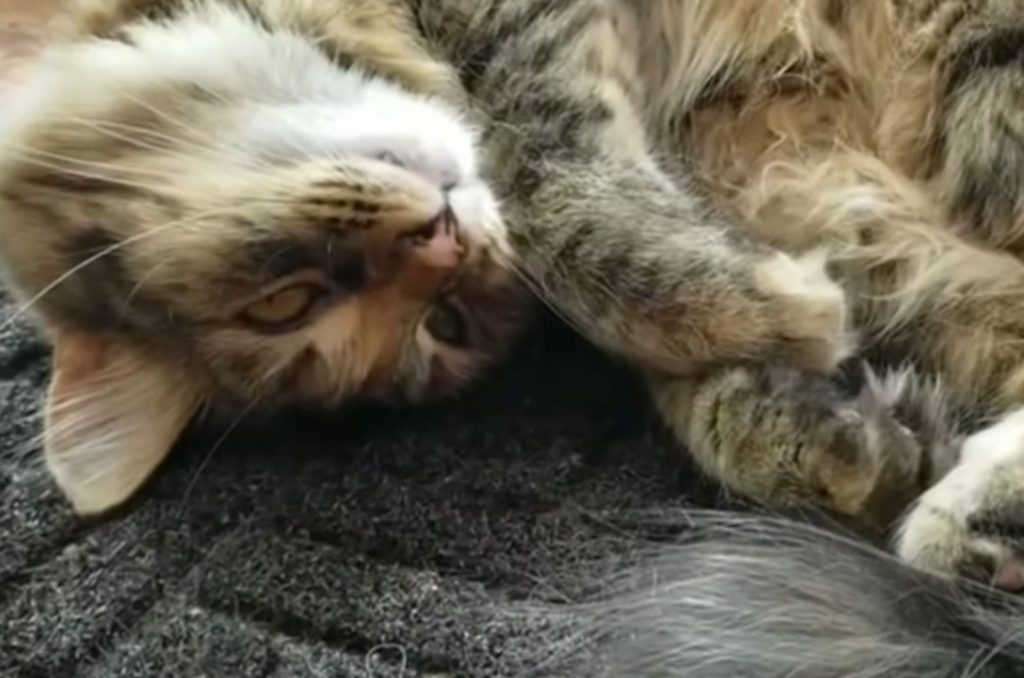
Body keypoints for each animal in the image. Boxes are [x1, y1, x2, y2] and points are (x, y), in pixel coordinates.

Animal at [4, 1, 1024, 675]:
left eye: (281, 302)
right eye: (443, 322)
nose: (443, 240)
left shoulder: (520, 41)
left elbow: (554, 195)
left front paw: (768, 313)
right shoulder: (824, 205)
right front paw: (830, 424)